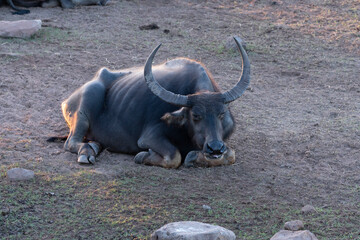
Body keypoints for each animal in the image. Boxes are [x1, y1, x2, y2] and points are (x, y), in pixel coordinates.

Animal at [55, 38, 250, 169]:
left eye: (222, 113)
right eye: (195, 115)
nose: (215, 148)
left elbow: (231, 155)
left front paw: (196, 156)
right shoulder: (149, 137)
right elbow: (174, 156)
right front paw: (143, 156)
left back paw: (95, 146)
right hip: (86, 105)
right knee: (71, 142)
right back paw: (87, 153)